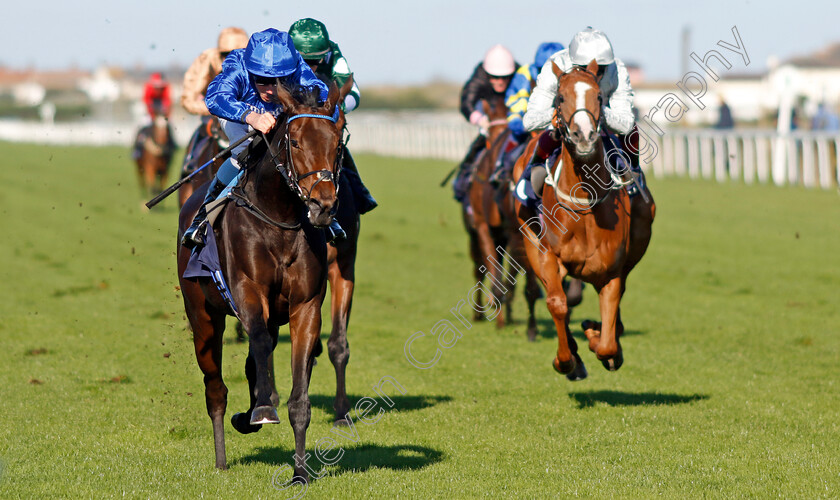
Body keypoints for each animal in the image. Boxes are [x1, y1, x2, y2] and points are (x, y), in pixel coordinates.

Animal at [177, 77, 354, 476]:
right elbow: (256, 341)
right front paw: (261, 409)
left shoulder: (305, 305)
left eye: (338, 142)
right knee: (216, 388)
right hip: (202, 315)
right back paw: (222, 457)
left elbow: (299, 395)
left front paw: (300, 474)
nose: (323, 205)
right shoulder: (248, 293)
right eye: (296, 141)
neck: (279, 220)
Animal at [462, 96, 540, 340]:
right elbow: (494, 274)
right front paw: (499, 317)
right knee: (480, 268)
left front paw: (531, 327)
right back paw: (483, 312)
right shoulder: (484, 227)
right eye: (488, 131)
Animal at [512, 59, 656, 378]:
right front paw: (567, 360)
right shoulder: (548, 256)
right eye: (560, 98)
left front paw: (595, 335)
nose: (585, 137)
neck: (585, 204)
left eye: (599, 98)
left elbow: (608, 343)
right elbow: (557, 303)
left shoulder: (612, 271)